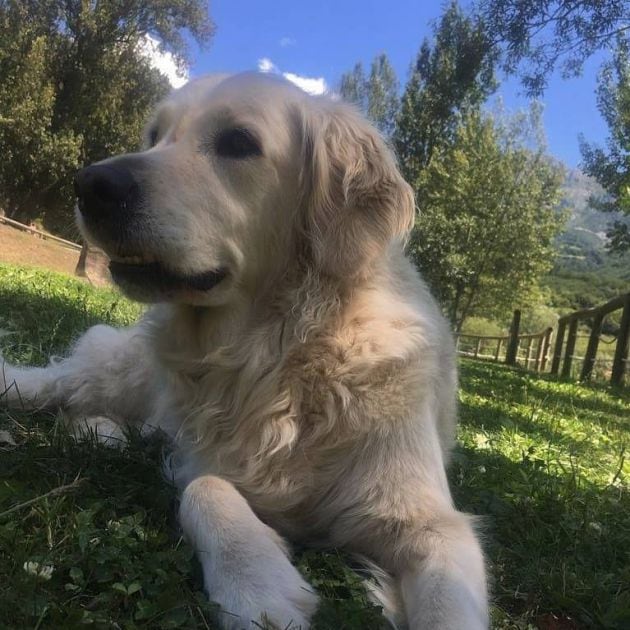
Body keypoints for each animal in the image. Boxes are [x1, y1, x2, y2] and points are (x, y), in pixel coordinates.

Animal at [0, 73, 492, 630]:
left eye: (239, 142)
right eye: (154, 136)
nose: (91, 185)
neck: (277, 353)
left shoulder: (434, 525)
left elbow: (447, 605)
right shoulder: (199, 458)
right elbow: (205, 488)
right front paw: (259, 585)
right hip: (113, 371)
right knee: (45, 386)